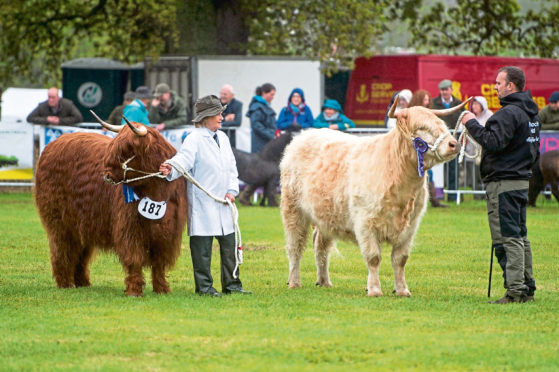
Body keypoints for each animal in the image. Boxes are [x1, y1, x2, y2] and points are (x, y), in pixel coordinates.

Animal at [35, 117, 188, 294]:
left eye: (128, 149)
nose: (107, 175)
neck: (156, 190)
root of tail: (53, 143)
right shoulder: (129, 228)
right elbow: (134, 258)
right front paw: (134, 290)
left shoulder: (167, 232)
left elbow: (159, 263)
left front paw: (162, 288)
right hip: (59, 221)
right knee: (62, 250)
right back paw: (64, 283)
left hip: (84, 223)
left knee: (81, 253)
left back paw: (82, 282)